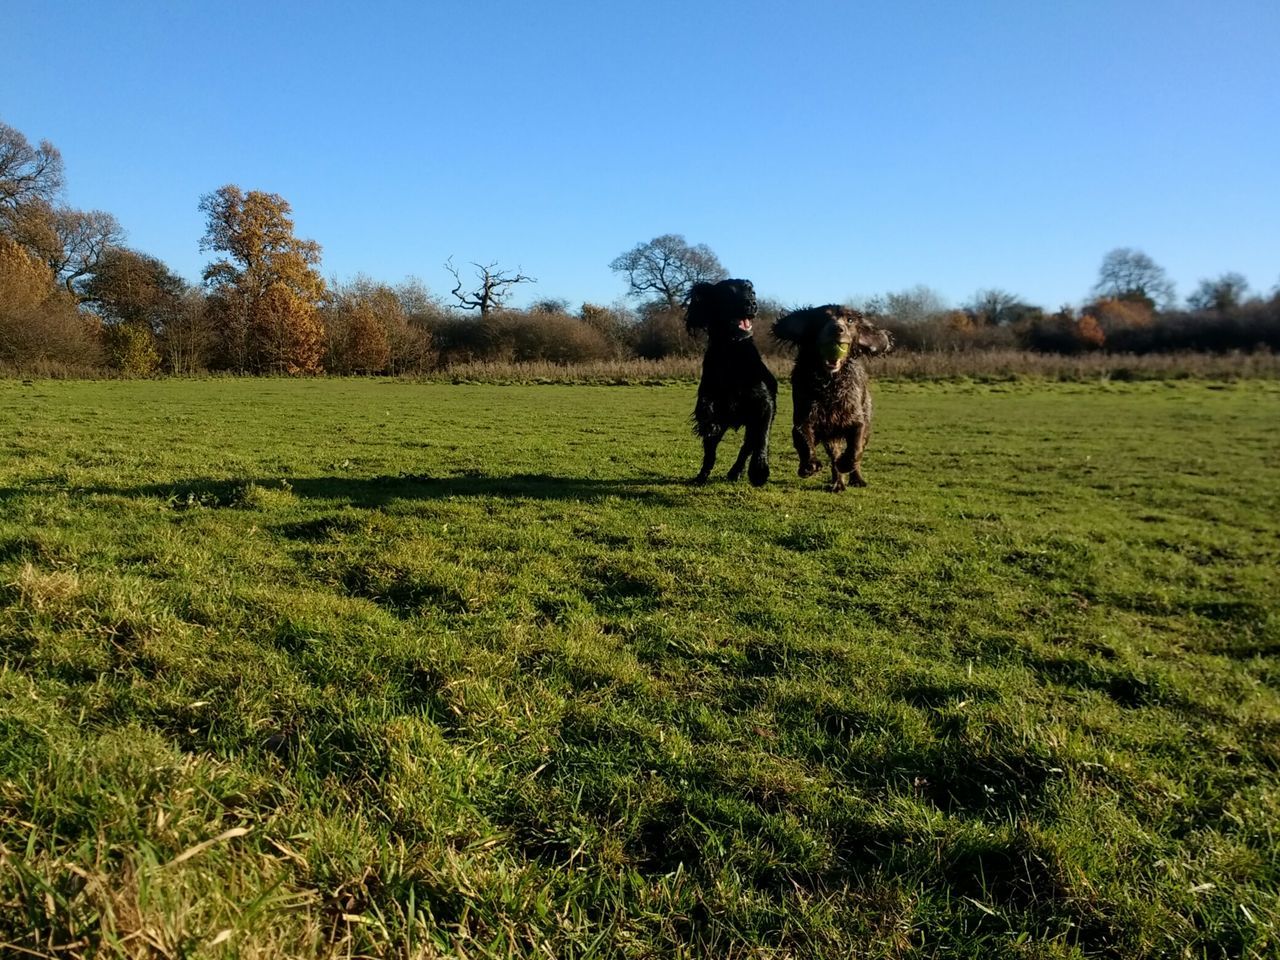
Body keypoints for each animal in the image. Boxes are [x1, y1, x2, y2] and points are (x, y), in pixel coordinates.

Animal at [686, 277, 773, 488]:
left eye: (752, 292)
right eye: (728, 294)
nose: (752, 304)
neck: (732, 351)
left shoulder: (764, 405)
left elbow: (762, 438)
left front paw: (759, 470)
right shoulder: (709, 392)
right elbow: (705, 408)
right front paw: (709, 422)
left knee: (747, 446)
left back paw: (736, 472)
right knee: (710, 454)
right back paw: (701, 477)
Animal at [768, 305, 890, 491]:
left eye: (850, 320)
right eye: (822, 318)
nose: (837, 329)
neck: (829, 383)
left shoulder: (856, 420)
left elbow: (855, 449)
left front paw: (846, 464)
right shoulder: (804, 418)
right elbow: (803, 440)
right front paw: (809, 466)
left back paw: (856, 478)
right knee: (834, 456)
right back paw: (837, 483)